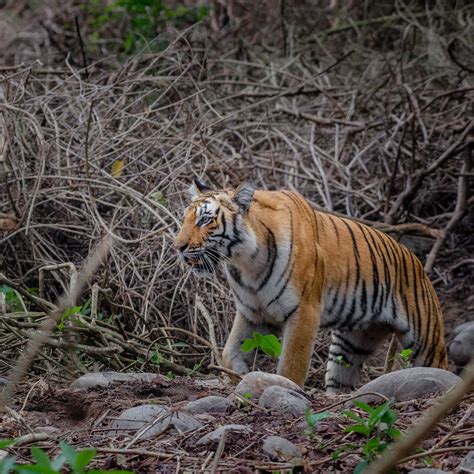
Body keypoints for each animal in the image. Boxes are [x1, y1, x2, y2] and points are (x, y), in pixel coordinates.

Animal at [174, 180, 448, 390]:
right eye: (183, 219)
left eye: (205, 220)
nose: (178, 247)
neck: (246, 262)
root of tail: (417, 262)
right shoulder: (252, 312)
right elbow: (230, 353)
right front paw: (239, 375)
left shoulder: (304, 312)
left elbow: (291, 367)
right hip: (351, 343)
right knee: (342, 379)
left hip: (426, 340)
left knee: (440, 368)